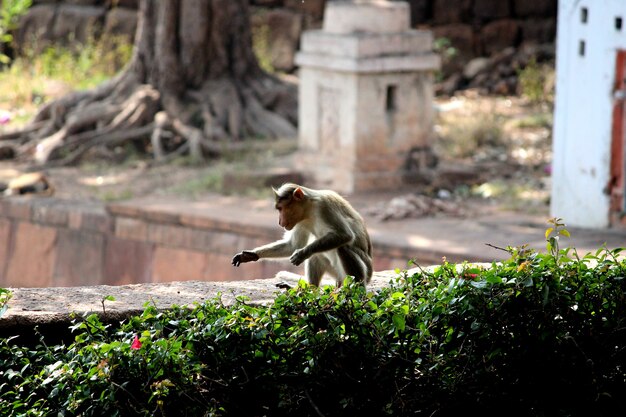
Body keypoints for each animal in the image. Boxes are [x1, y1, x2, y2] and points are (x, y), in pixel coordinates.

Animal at [233, 183, 370, 286]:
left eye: (281, 208)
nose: (279, 221)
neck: (309, 210)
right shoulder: (300, 221)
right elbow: (293, 245)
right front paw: (250, 255)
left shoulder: (325, 206)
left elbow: (345, 235)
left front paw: (303, 253)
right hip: (336, 271)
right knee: (316, 255)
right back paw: (310, 290)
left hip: (364, 273)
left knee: (343, 247)